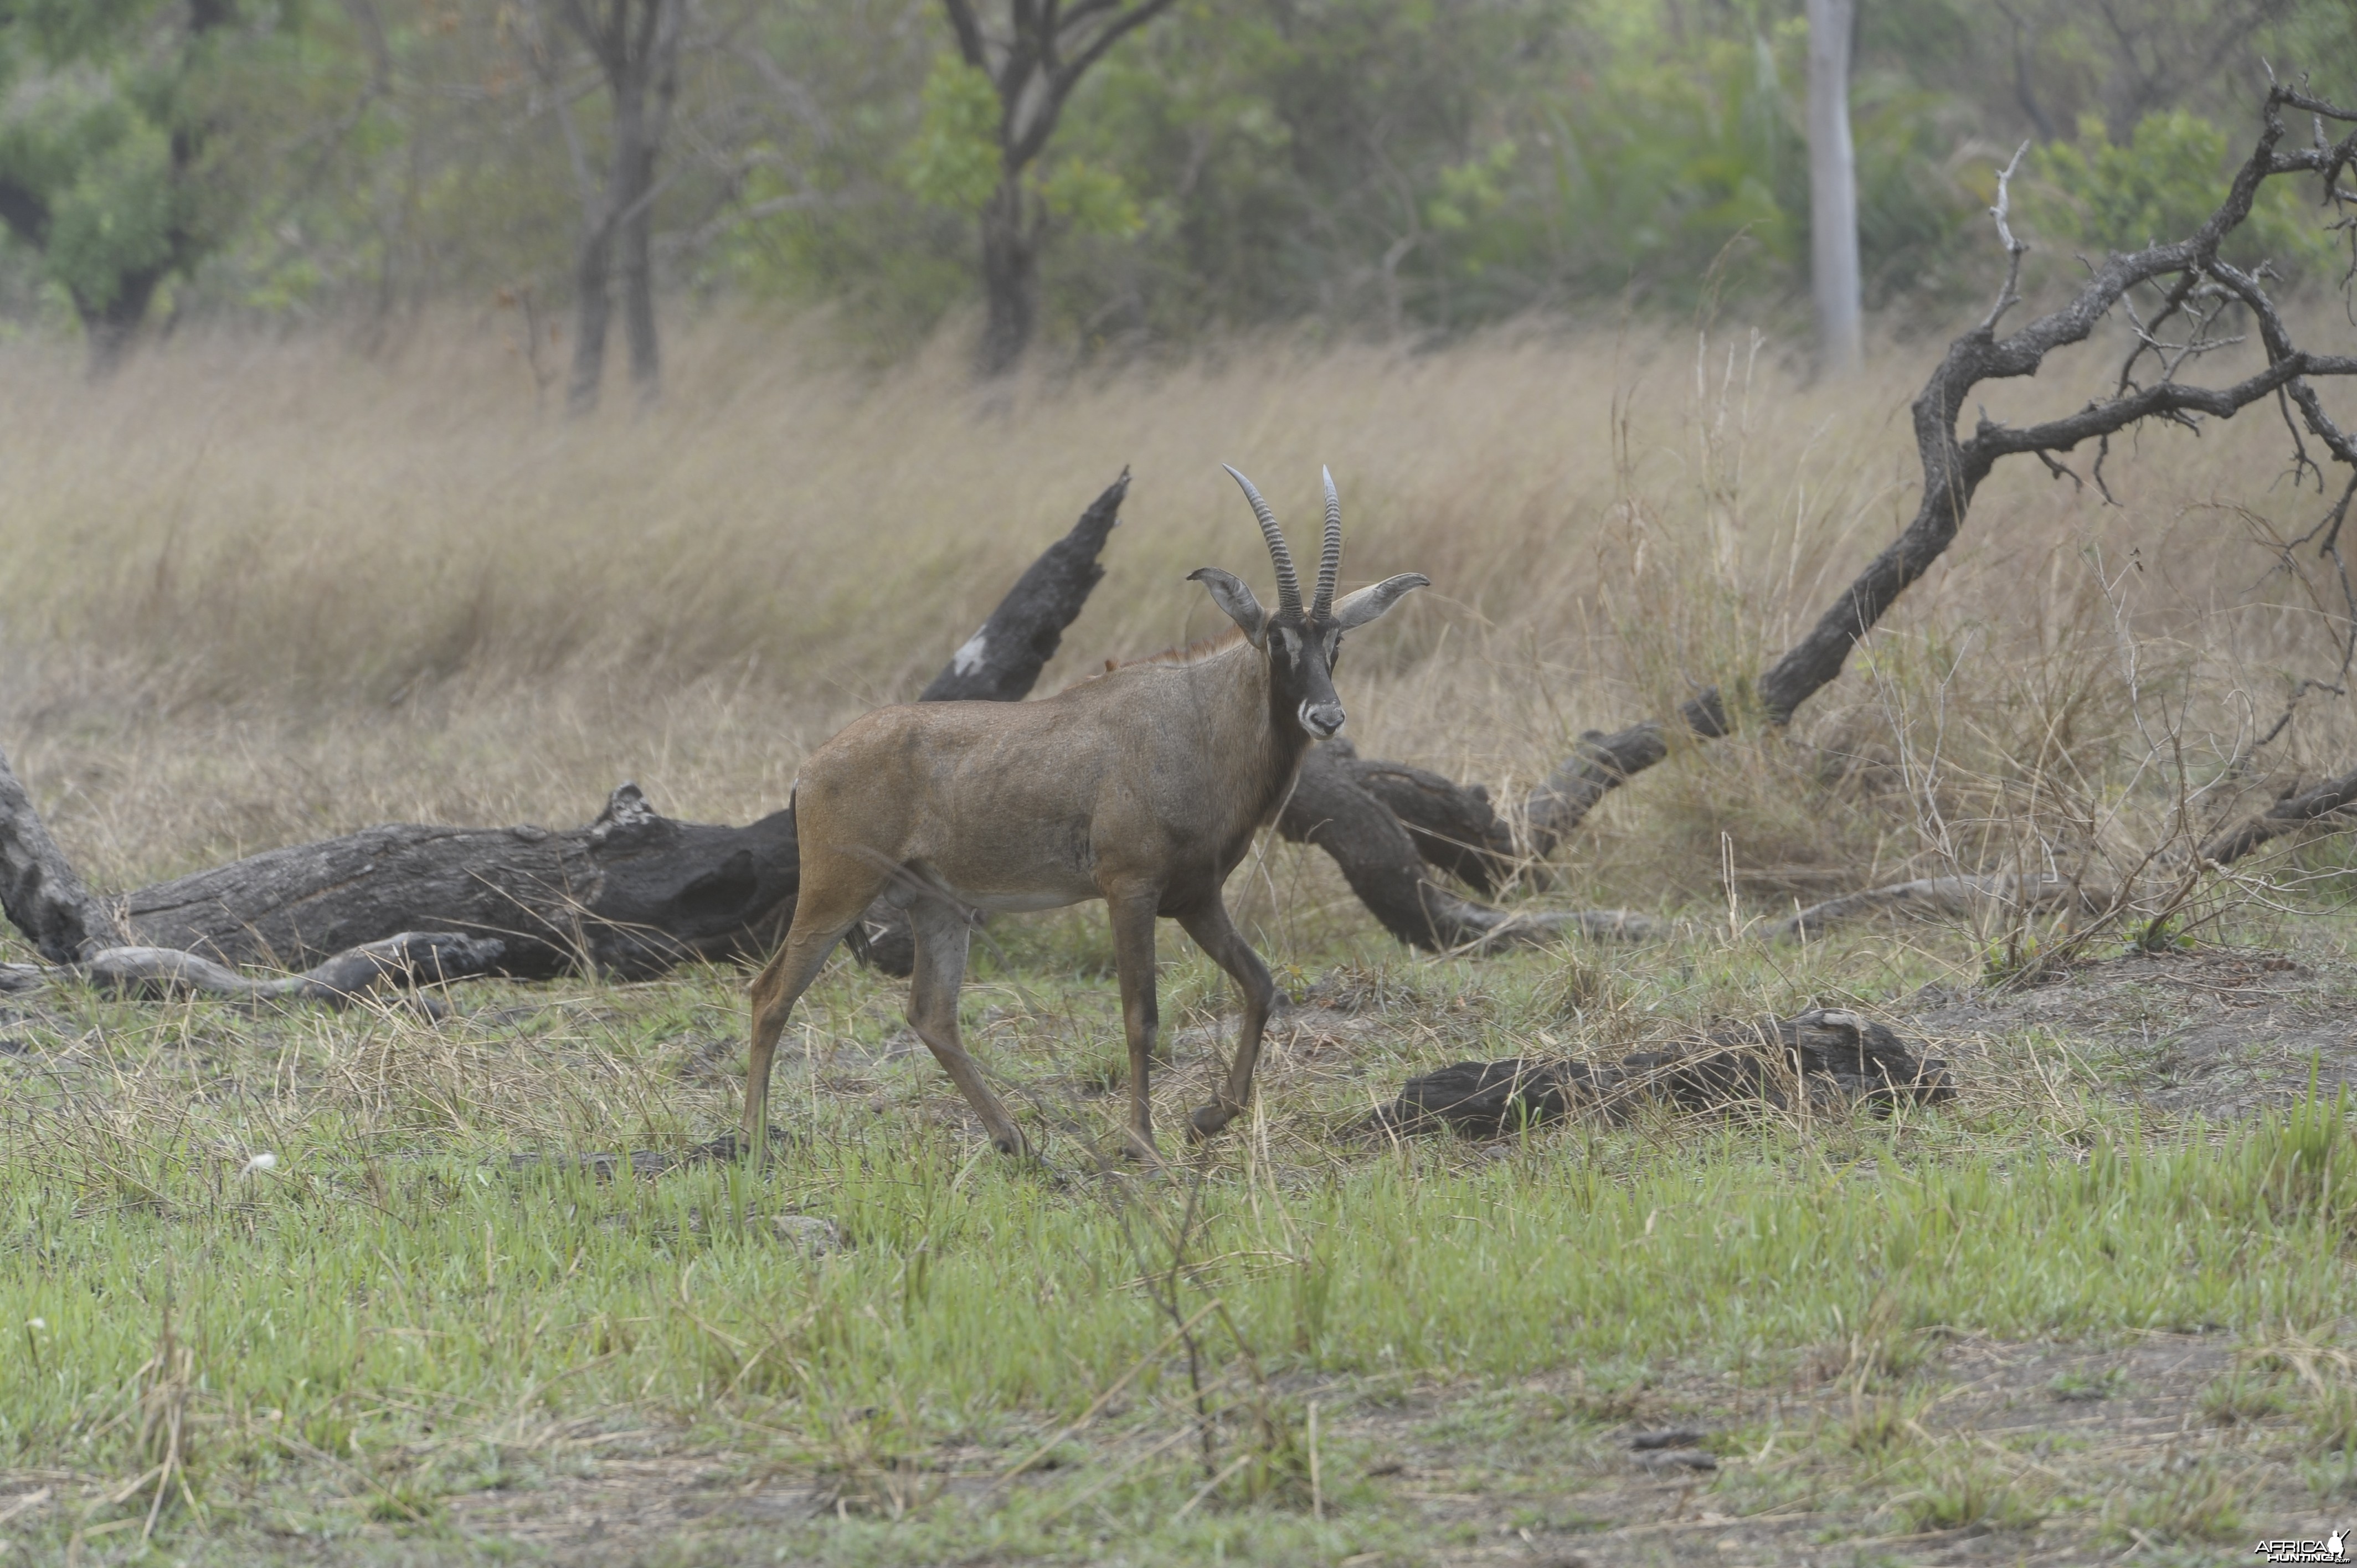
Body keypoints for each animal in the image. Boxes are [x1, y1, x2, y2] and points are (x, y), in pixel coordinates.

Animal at [744, 464, 1423, 1151]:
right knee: (769, 994)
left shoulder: (1195, 899)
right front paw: (1142, 1143)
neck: (1196, 720)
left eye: (1335, 640)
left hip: (938, 906)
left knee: (931, 1015)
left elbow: (1259, 986)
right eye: (1274, 638)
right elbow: (1140, 1016)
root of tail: (810, 769)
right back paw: (752, 1142)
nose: (1326, 716)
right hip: (837, 892)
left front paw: (1207, 1117)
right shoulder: (1130, 890)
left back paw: (1016, 1142)